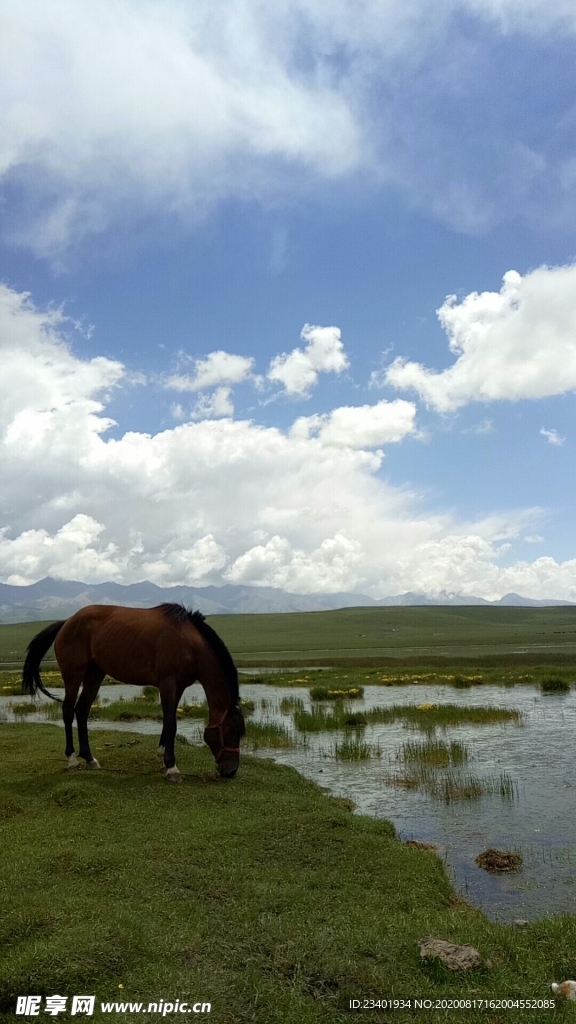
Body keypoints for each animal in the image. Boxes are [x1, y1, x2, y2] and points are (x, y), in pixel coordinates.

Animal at [21, 598, 241, 782]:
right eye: (231, 730)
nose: (231, 771)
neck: (188, 643)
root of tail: (67, 622)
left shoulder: (178, 687)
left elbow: (167, 721)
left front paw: (163, 759)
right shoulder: (168, 684)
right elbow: (171, 724)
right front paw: (172, 768)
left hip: (94, 674)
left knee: (82, 710)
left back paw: (90, 759)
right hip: (73, 675)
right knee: (68, 711)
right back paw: (72, 760)